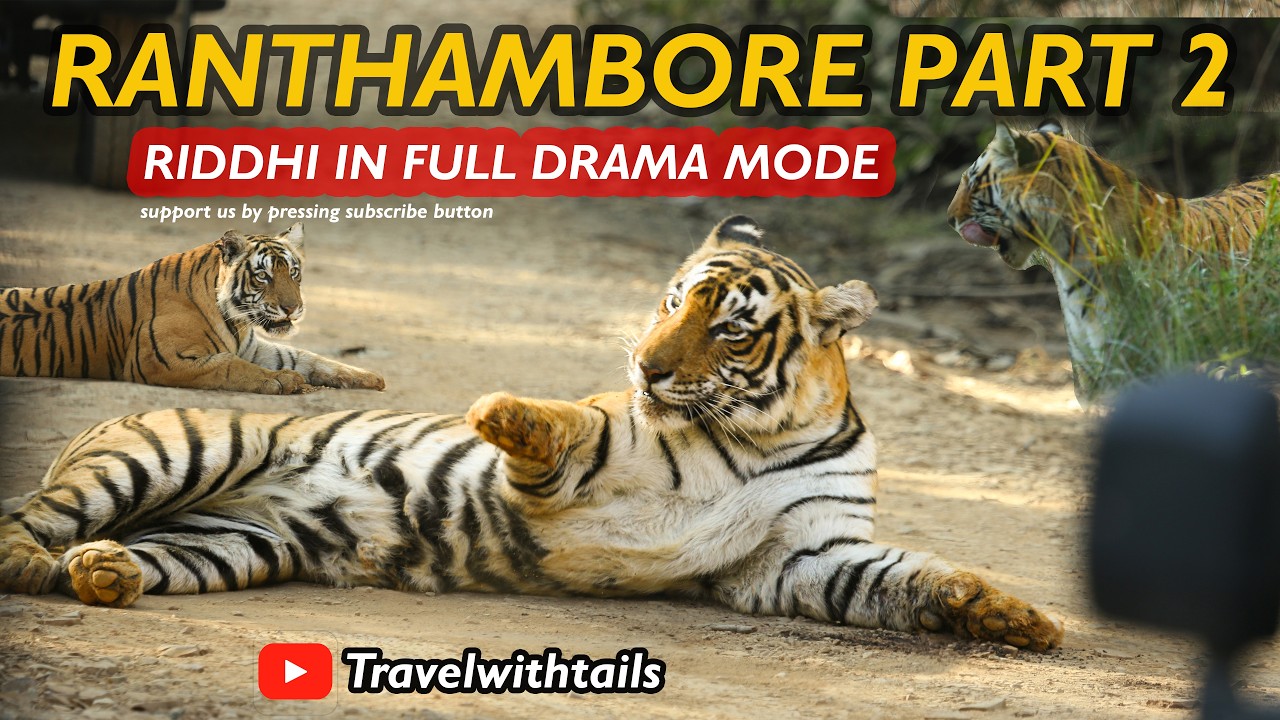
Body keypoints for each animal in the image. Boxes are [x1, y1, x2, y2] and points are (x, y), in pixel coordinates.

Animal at [0, 222, 384, 394]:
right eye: (262, 276)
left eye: (293, 273)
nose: (292, 309)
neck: (238, 321)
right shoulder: (160, 358)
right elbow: (231, 367)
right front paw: (283, 381)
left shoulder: (252, 346)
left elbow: (307, 357)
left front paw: (368, 376)